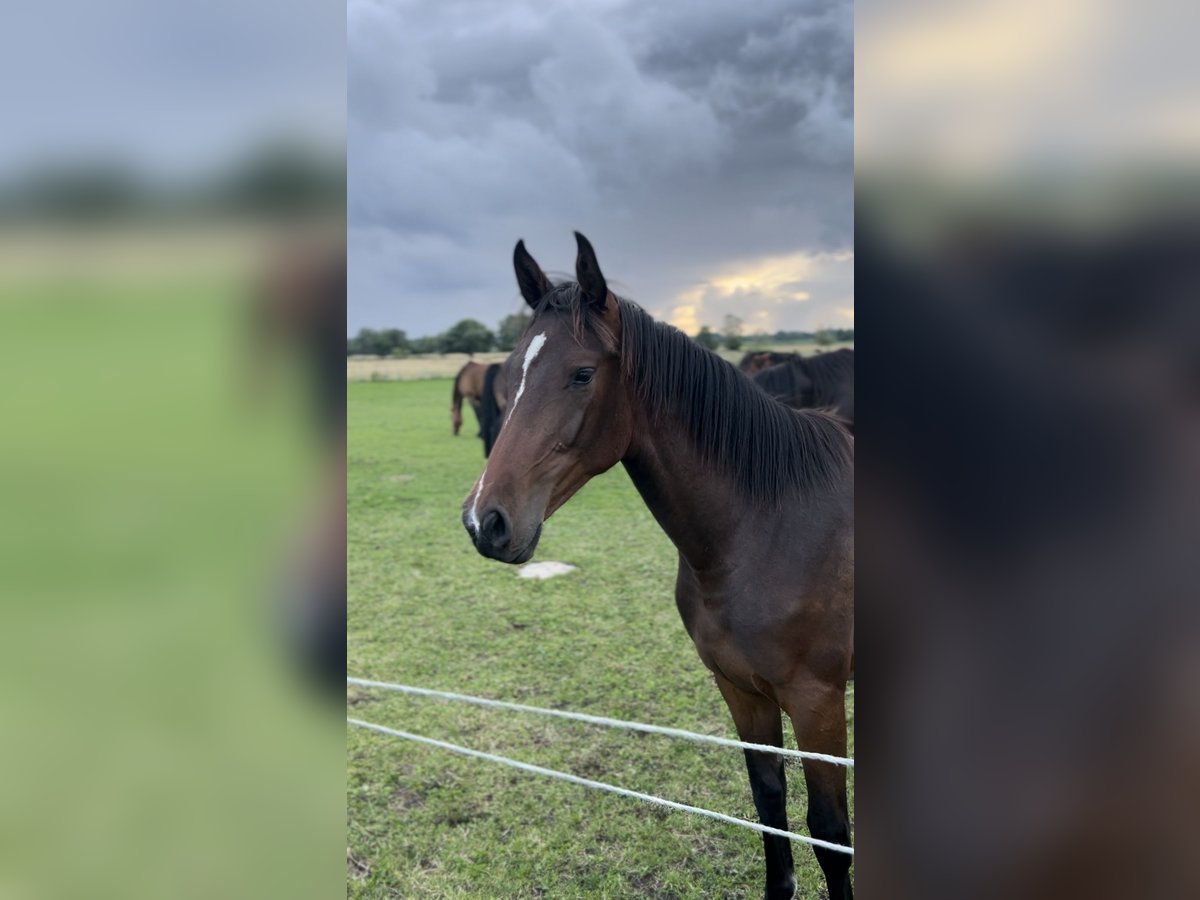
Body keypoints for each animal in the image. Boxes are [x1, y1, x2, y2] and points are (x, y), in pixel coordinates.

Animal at [458, 234, 854, 900]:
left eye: (582, 373)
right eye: (510, 374)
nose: (485, 521)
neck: (766, 529)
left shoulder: (817, 702)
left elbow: (830, 834)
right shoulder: (740, 689)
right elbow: (769, 804)